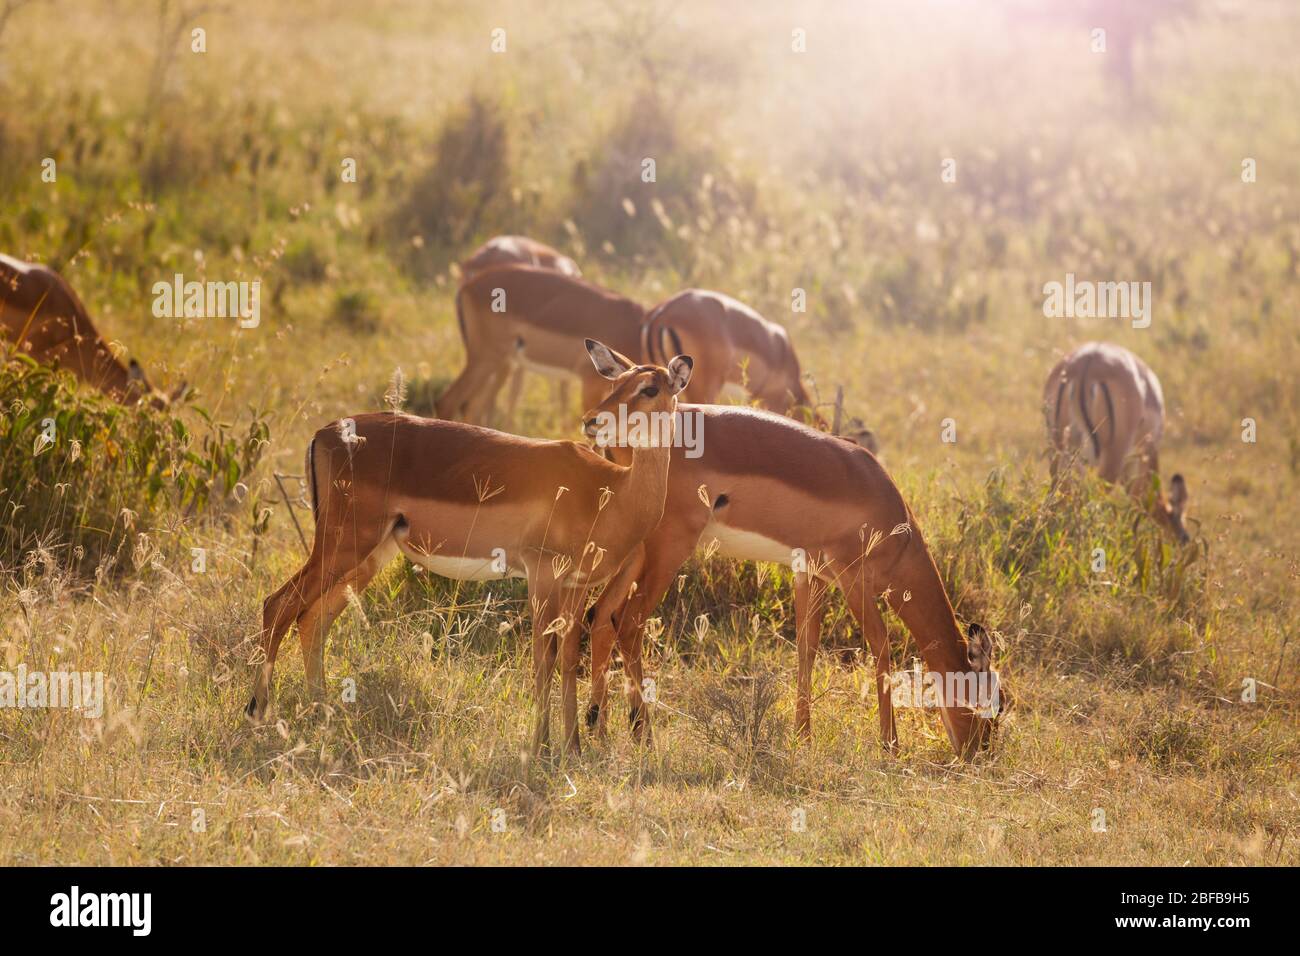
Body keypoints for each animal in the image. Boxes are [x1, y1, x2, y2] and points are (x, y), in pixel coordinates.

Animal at [248, 339, 694, 758]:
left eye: (650, 387)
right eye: (617, 384)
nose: (592, 421)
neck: (610, 492)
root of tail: (324, 433)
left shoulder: (576, 585)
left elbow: (569, 660)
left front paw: (573, 749)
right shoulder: (542, 575)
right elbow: (542, 658)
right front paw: (540, 748)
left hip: (367, 558)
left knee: (313, 619)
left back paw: (320, 710)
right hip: (342, 546)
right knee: (277, 604)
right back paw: (257, 711)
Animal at [584, 404, 1004, 760]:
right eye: (992, 699)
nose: (979, 752)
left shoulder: (810, 573)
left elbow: (806, 647)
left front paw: (803, 736)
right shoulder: (851, 577)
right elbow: (880, 645)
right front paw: (890, 745)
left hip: (637, 549)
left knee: (601, 615)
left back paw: (597, 731)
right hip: (666, 548)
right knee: (629, 622)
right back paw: (643, 735)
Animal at [1043, 342, 1190, 542]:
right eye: (1184, 537)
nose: (1184, 541)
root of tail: (1086, 363)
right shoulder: (1140, 458)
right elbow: (1136, 501)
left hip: (1058, 452)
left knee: (1059, 496)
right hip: (1112, 458)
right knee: (1091, 499)